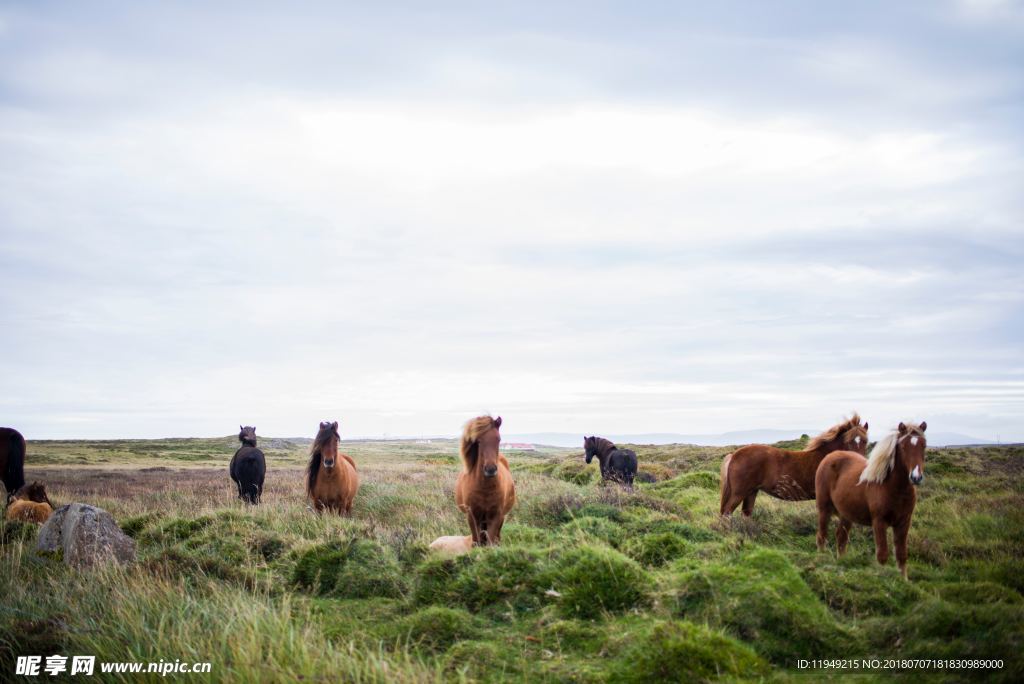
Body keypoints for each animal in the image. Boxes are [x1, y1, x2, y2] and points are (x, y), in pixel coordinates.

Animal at [456, 413, 516, 548]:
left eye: (498, 439)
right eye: (478, 441)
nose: (490, 469)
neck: (485, 488)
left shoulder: (496, 516)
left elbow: (490, 542)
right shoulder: (472, 516)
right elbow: (476, 541)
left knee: (497, 537)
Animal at [716, 413, 868, 516]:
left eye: (865, 441)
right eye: (849, 441)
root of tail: (734, 455)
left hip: (751, 492)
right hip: (739, 493)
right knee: (726, 512)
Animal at [815, 421, 929, 577]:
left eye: (924, 445)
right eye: (903, 446)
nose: (916, 477)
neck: (894, 488)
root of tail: (829, 457)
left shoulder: (904, 522)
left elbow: (901, 555)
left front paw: (903, 580)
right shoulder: (879, 522)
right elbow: (882, 555)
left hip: (846, 515)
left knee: (841, 537)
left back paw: (841, 562)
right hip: (824, 509)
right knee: (822, 535)